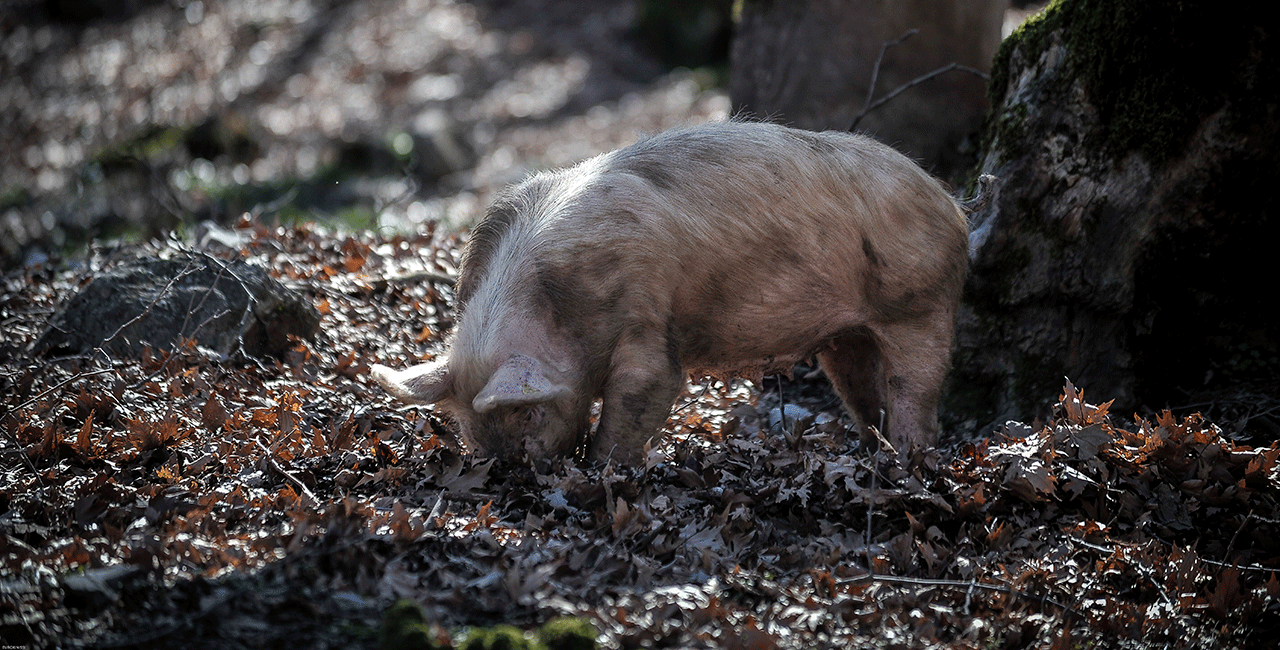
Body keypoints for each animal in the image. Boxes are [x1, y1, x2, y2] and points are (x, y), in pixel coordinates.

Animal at [372, 120, 969, 463]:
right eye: (469, 431)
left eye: (529, 412)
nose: (516, 467)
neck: (556, 307)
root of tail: (952, 205)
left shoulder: (645, 310)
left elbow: (650, 385)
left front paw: (599, 470)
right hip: (847, 336)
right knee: (861, 386)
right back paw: (869, 451)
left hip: (922, 303)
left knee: (918, 387)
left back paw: (907, 461)